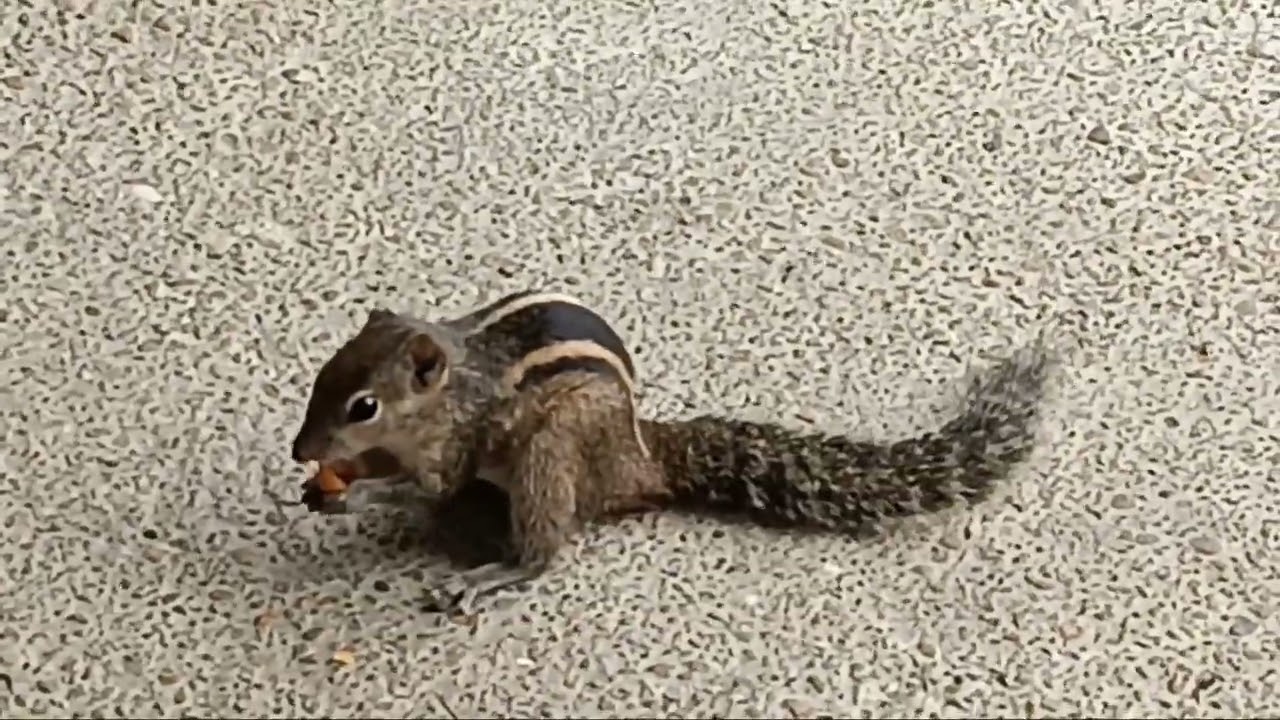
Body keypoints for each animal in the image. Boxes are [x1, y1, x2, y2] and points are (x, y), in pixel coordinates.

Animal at [289, 290, 1054, 612]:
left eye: (364, 407)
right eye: (323, 372)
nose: (301, 450)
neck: (451, 383)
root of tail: (640, 457)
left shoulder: (460, 440)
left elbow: (431, 486)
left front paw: (355, 492)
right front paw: (325, 486)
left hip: (548, 458)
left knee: (542, 550)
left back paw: (485, 575)